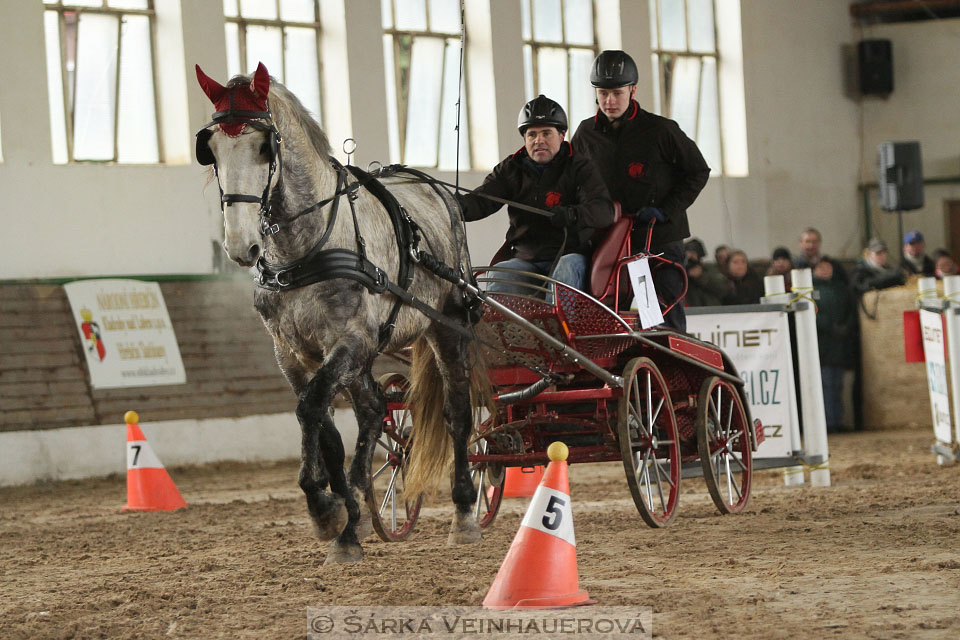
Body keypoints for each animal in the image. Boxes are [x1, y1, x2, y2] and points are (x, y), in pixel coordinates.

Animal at [194, 63, 484, 564]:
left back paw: (464, 512)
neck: (304, 250)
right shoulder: (293, 353)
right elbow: (324, 426)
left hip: (449, 325)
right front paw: (341, 517)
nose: (240, 246)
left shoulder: (350, 339)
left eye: (264, 146)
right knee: (372, 409)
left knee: (457, 413)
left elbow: (311, 407)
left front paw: (324, 508)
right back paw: (362, 510)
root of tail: (436, 188)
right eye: (209, 148)